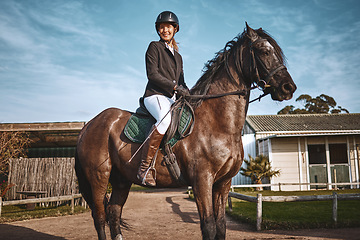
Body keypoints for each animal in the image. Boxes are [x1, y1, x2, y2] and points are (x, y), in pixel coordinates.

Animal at [75, 23, 296, 240]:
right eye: (264, 51)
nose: (289, 88)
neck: (218, 123)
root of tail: (89, 125)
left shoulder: (223, 183)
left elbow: (221, 226)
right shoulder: (202, 181)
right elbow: (209, 226)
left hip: (121, 180)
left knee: (114, 214)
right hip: (99, 178)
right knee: (100, 218)